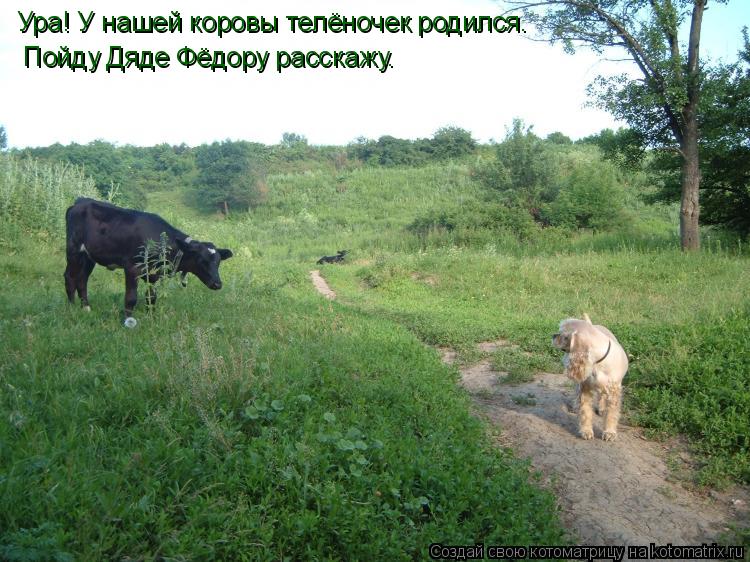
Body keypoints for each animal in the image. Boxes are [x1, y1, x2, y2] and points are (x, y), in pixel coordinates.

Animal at [64, 198, 232, 320]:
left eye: (218, 262)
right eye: (202, 260)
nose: (217, 284)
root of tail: (79, 202)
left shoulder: (154, 274)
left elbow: (151, 297)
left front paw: (151, 317)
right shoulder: (132, 268)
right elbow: (131, 298)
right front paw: (128, 321)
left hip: (88, 257)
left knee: (82, 279)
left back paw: (86, 308)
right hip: (74, 251)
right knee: (70, 277)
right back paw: (72, 308)